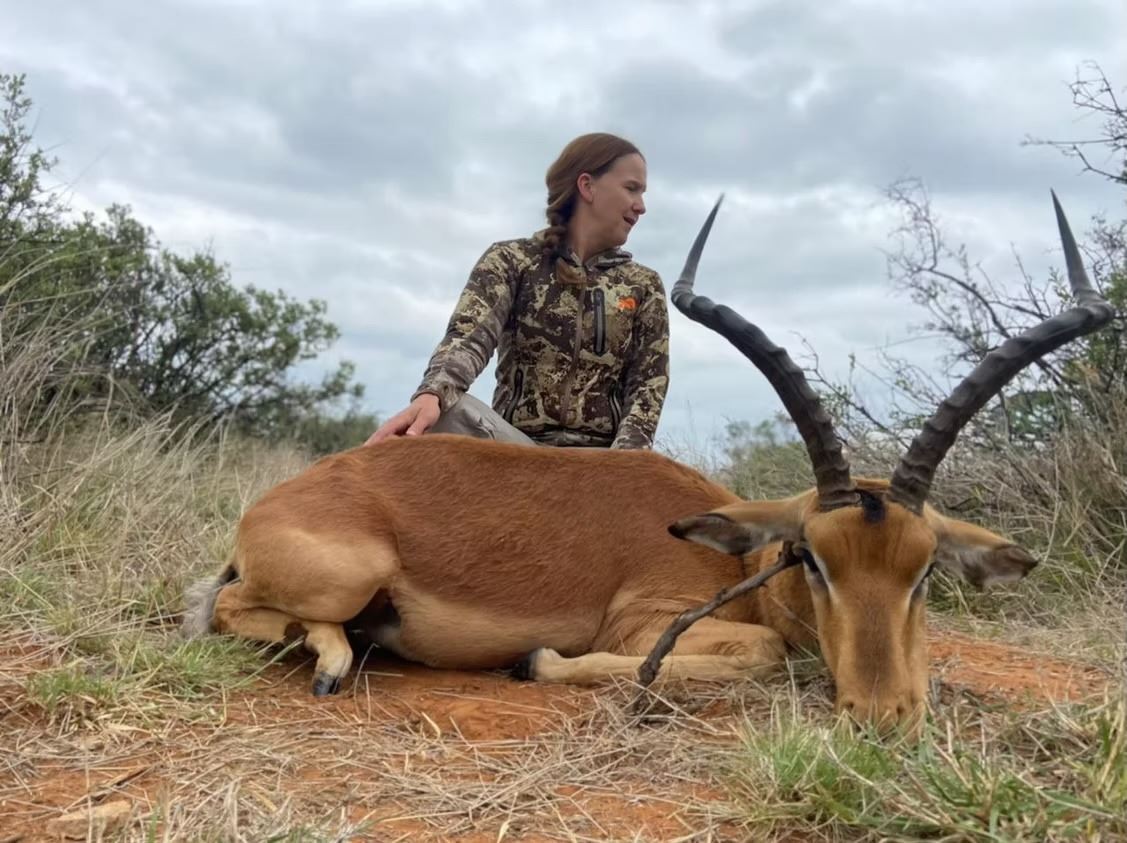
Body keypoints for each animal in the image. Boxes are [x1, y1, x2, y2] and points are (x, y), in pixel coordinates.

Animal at [183, 191, 1113, 734]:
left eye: (923, 570)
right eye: (809, 556)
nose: (881, 714)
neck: (739, 568)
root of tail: (273, 503)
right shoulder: (643, 624)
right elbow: (759, 655)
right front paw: (536, 661)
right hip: (347, 574)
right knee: (226, 608)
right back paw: (333, 661)